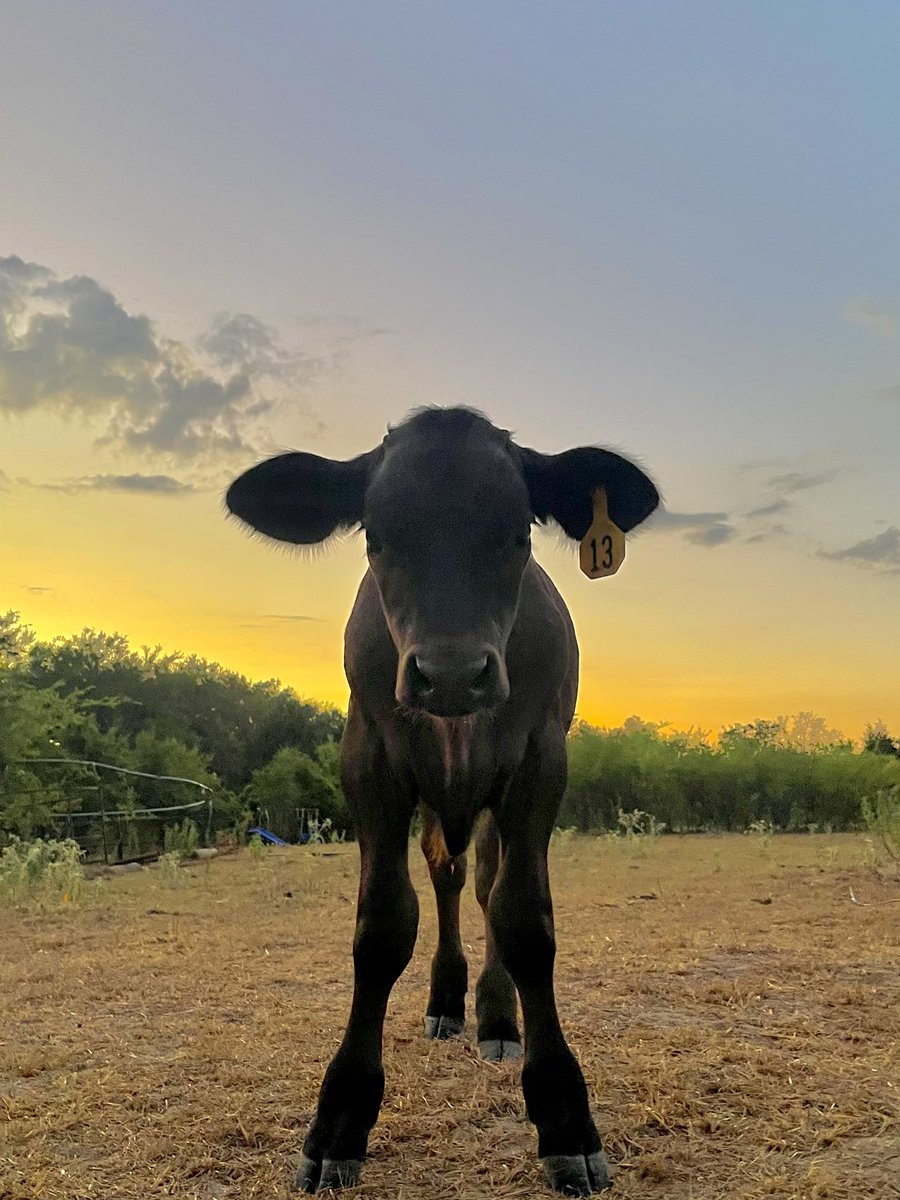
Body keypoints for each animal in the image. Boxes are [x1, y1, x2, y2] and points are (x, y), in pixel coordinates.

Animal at [226, 407, 659, 1195]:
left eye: (518, 530)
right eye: (376, 533)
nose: (452, 673)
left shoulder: (541, 760)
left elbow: (524, 921)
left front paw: (563, 1116)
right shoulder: (368, 757)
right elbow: (382, 926)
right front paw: (340, 1120)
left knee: (485, 884)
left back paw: (494, 1017)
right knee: (449, 876)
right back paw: (447, 1002)